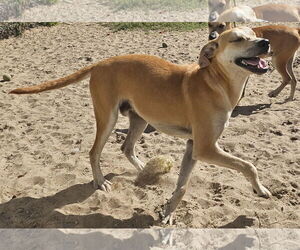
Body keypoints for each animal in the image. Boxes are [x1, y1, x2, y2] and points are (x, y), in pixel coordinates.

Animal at [9, 27, 272, 225]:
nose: (266, 42)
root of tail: (100, 63)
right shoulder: (205, 147)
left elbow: (182, 186)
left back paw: (144, 169)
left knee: (126, 148)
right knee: (94, 152)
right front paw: (260, 190)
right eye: (237, 39)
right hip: (108, 118)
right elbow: (248, 166)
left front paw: (168, 211)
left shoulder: (193, 146)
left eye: (254, 32)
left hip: (140, 118)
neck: (216, 81)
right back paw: (100, 181)